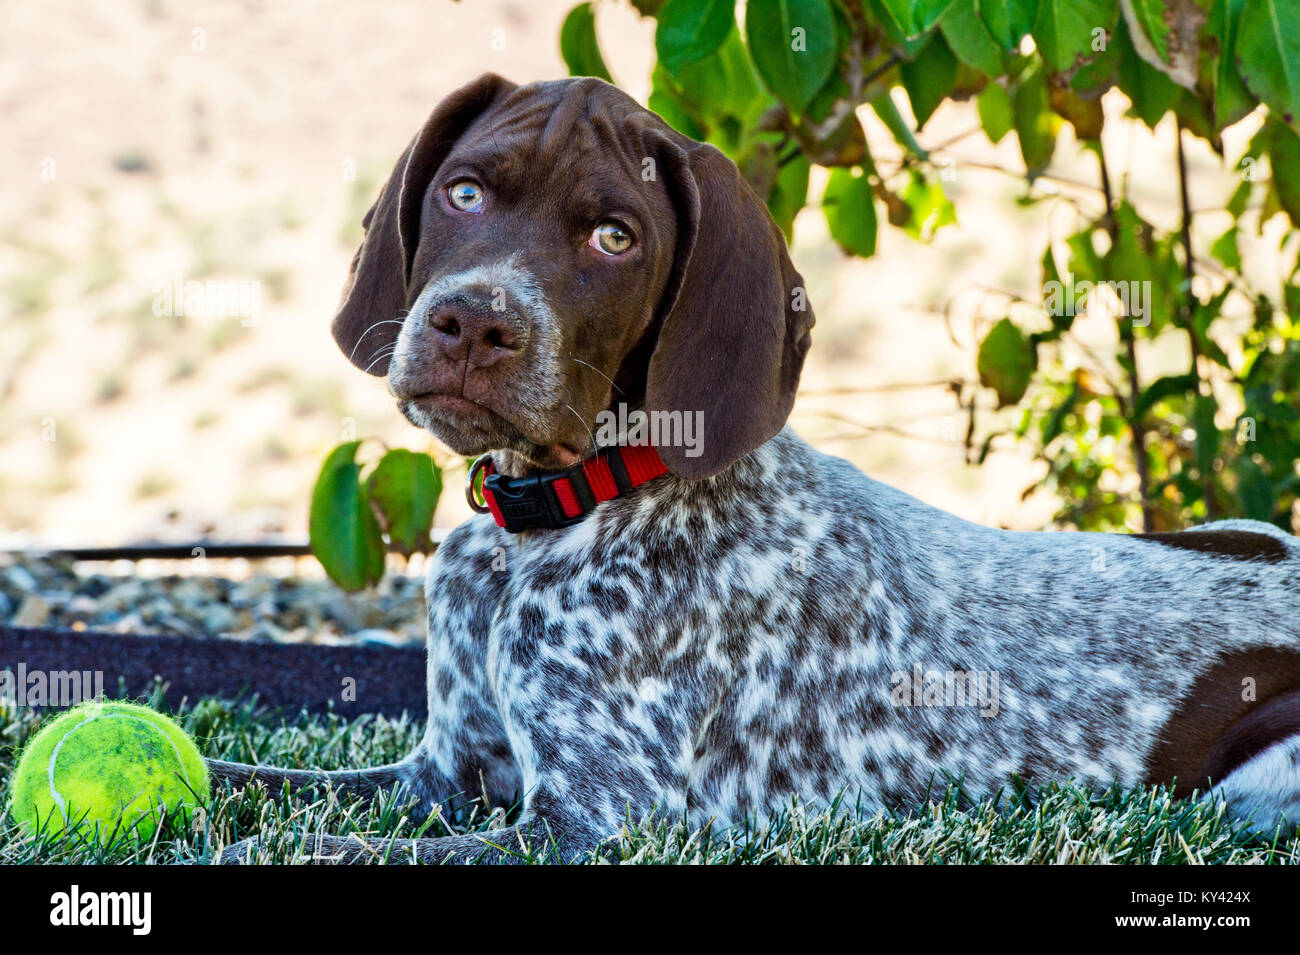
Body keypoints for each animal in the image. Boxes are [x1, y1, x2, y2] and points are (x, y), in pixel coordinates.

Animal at [213, 72, 1300, 867]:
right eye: (464, 191)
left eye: (615, 237)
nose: (474, 324)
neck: (553, 518)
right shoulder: (444, 773)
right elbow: (242, 775)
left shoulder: (595, 821)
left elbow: (322, 848)